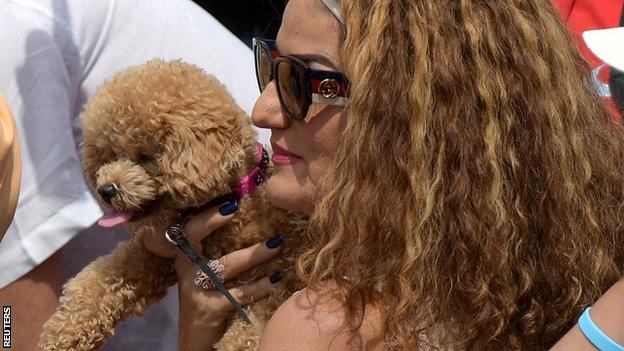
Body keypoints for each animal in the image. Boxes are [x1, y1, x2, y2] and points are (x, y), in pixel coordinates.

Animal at [39, 59, 308, 350]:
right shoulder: (163, 252)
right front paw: (63, 333)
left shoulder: (277, 282)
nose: (105, 190)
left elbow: (249, 332)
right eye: (110, 156)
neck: (235, 198)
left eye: (145, 156)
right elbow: (106, 277)